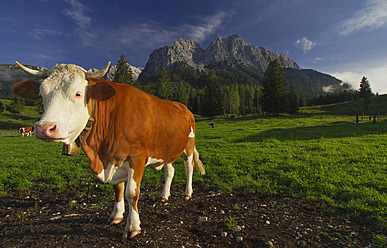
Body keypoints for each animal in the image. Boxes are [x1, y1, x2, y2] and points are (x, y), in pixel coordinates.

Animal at [11, 60, 206, 240]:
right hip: (167, 150)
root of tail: (184, 108)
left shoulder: (137, 157)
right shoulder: (114, 157)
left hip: (188, 145)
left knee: (189, 168)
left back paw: (188, 193)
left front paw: (133, 227)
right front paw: (116, 216)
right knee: (170, 170)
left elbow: (132, 193)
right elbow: (118, 189)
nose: (44, 128)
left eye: (78, 93)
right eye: (42, 93)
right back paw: (164, 195)